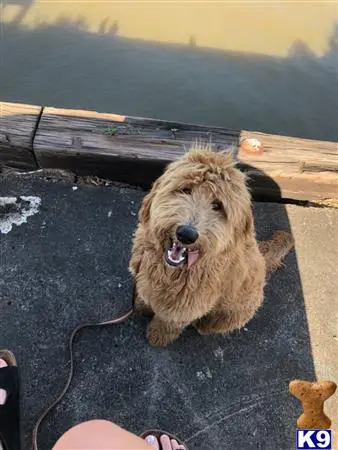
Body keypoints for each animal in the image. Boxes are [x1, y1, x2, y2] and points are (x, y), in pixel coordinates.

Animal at [129, 146, 294, 346]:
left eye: (217, 205)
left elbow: (169, 323)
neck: (171, 270)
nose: (186, 234)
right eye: (185, 190)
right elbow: (145, 296)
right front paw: (141, 306)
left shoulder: (184, 307)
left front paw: (157, 336)